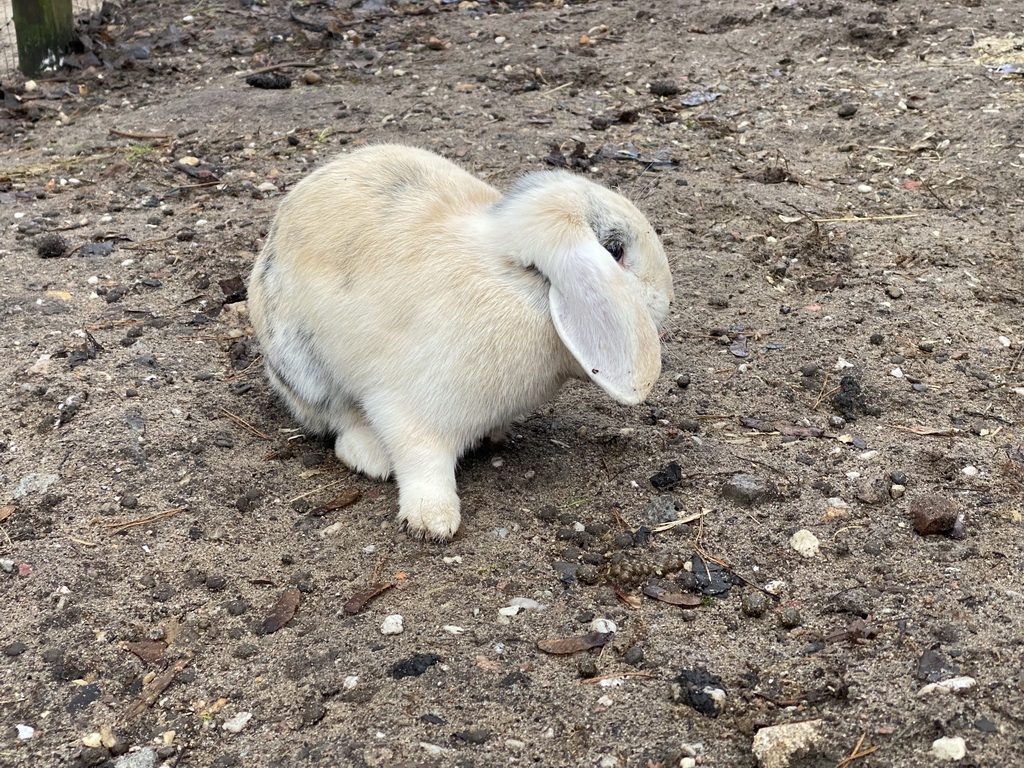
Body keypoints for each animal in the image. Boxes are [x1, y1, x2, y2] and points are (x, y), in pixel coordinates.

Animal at [249, 143, 671, 540]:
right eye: (615, 251)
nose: (666, 299)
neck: (516, 281)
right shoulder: (410, 412)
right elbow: (422, 464)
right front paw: (433, 521)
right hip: (304, 367)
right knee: (337, 420)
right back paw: (371, 456)